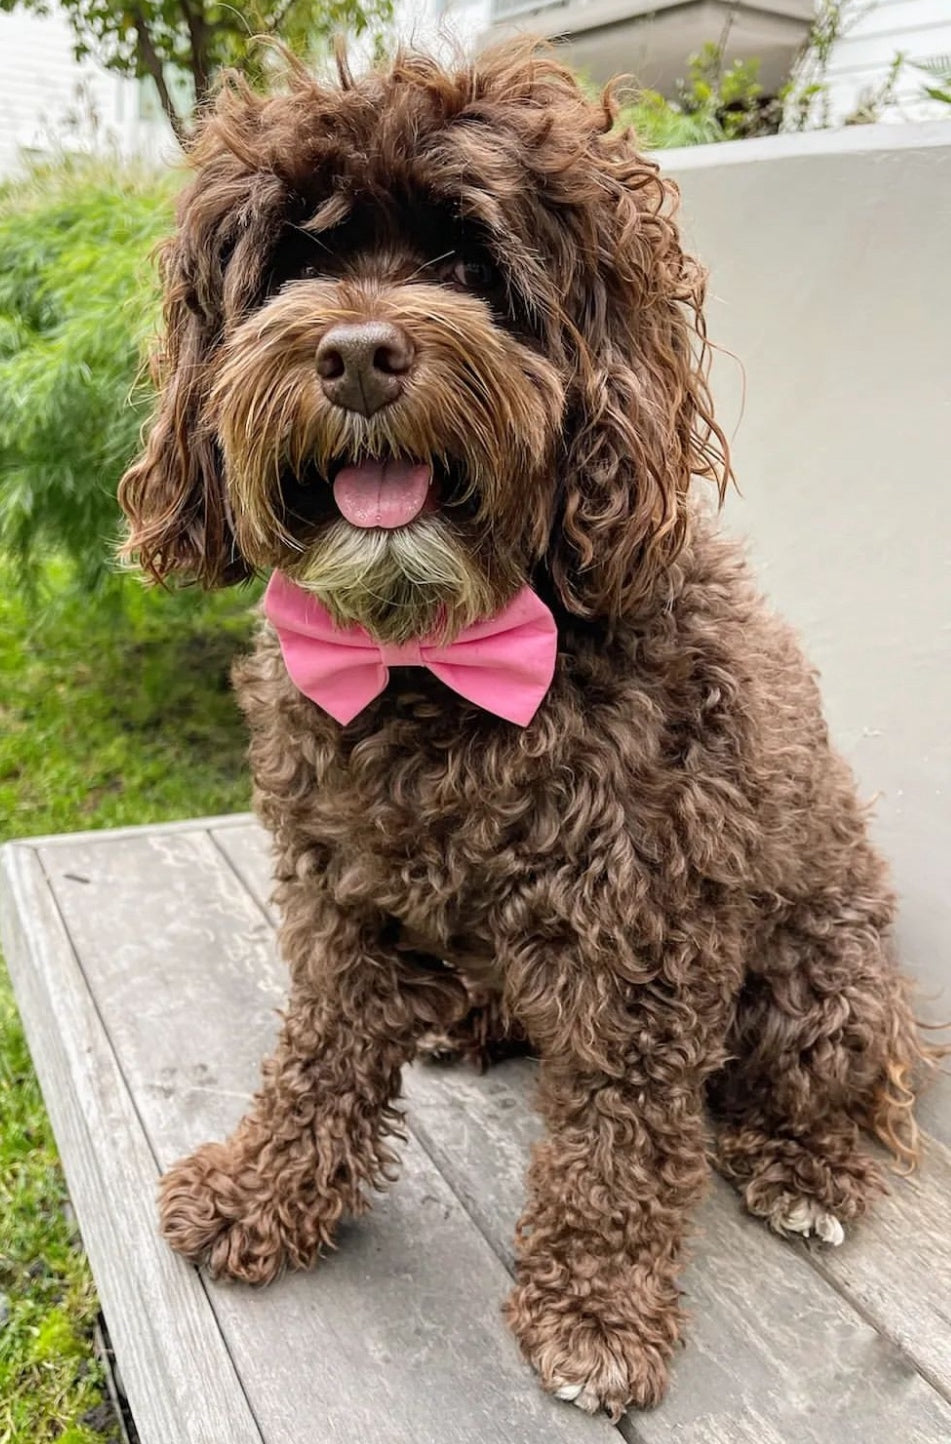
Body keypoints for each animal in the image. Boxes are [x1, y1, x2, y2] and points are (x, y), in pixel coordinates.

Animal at [119, 39, 935, 1415]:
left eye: (469, 262)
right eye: (294, 262)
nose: (356, 354)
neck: (429, 652)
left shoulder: (649, 929)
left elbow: (620, 1135)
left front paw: (596, 1308)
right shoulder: (338, 886)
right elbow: (321, 1050)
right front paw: (264, 1189)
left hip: (824, 976)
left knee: (834, 1082)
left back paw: (807, 1166)